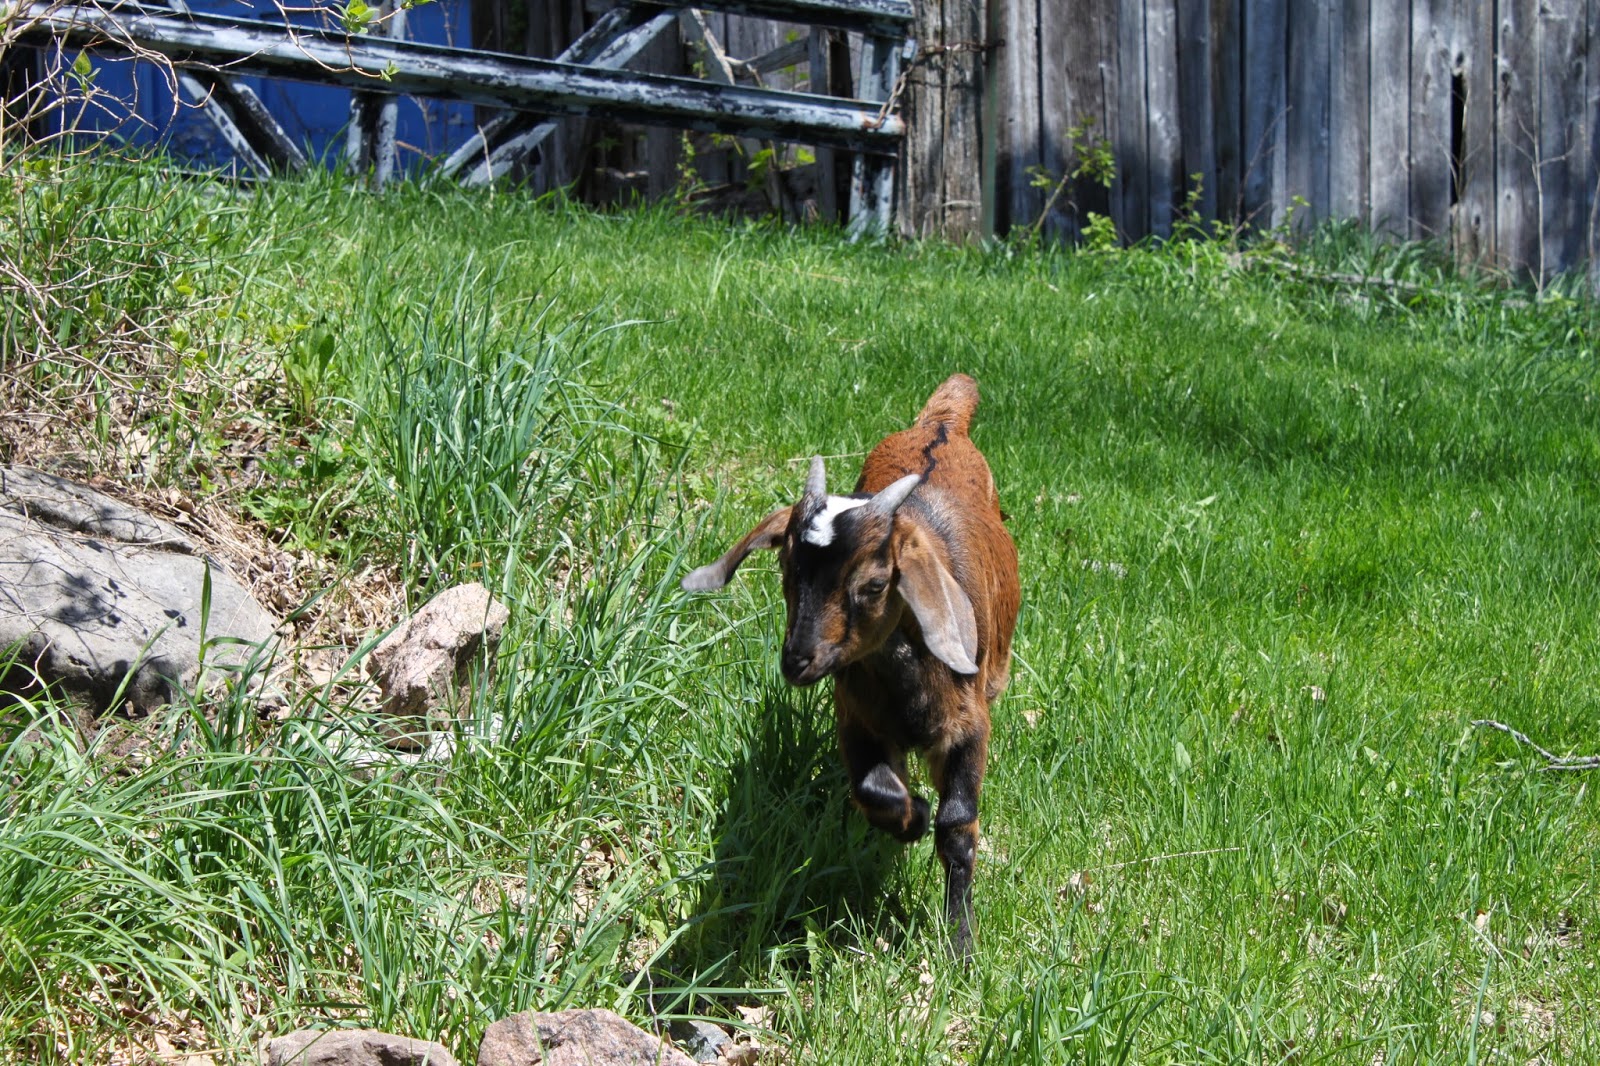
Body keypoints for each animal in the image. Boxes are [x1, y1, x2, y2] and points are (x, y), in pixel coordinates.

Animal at [681, 374, 1020, 955]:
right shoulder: (856, 717)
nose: (797, 660)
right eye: (785, 565)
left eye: (875, 584)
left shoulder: (970, 724)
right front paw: (911, 819)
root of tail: (941, 425)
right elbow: (872, 789)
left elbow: (958, 826)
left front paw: (960, 946)